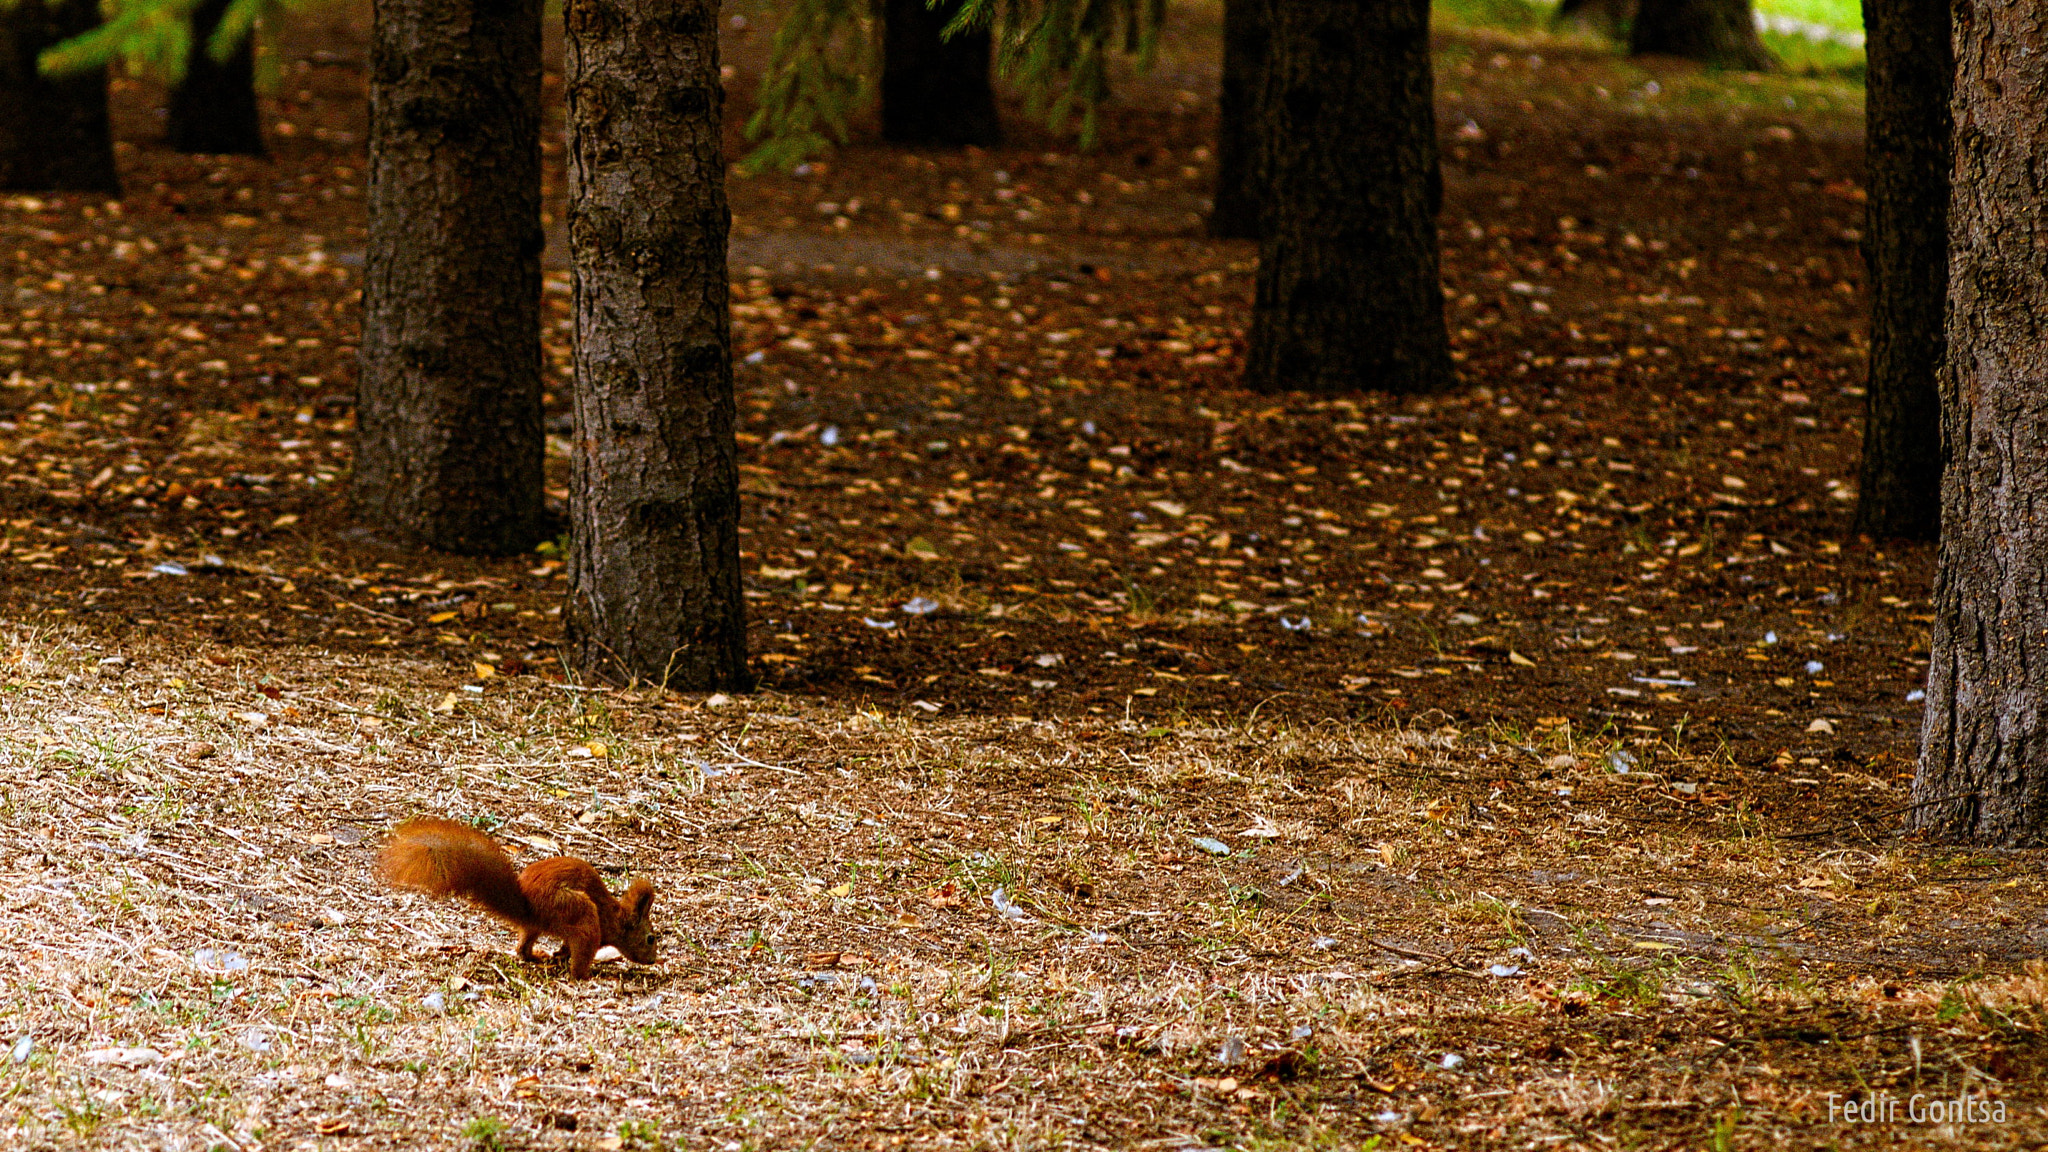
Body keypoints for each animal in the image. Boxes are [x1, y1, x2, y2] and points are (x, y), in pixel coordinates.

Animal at [380, 815, 659, 975]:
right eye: (650, 939)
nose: (654, 960)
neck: (614, 916)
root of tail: (530, 906)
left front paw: (559, 954)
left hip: (538, 925)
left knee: (522, 949)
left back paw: (539, 956)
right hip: (578, 910)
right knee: (577, 955)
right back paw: (584, 975)